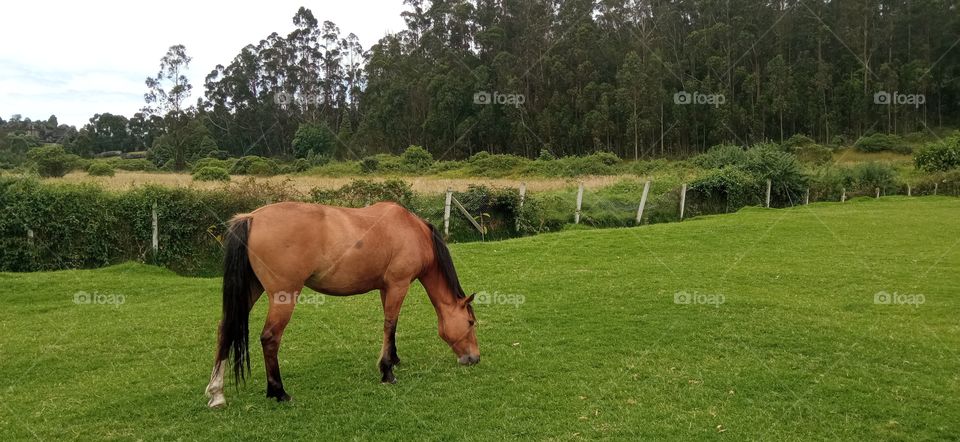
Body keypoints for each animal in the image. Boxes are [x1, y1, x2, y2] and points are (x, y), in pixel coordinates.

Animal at [203, 201, 480, 408]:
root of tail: (252, 217)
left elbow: (392, 326)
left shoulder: (386, 289)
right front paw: (387, 372)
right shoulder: (398, 285)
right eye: (470, 322)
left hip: (251, 290)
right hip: (283, 297)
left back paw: (217, 393)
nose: (474, 358)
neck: (412, 230)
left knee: (225, 329)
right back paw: (278, 391)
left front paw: (394, 358)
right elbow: (390, 324)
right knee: (270, 338)